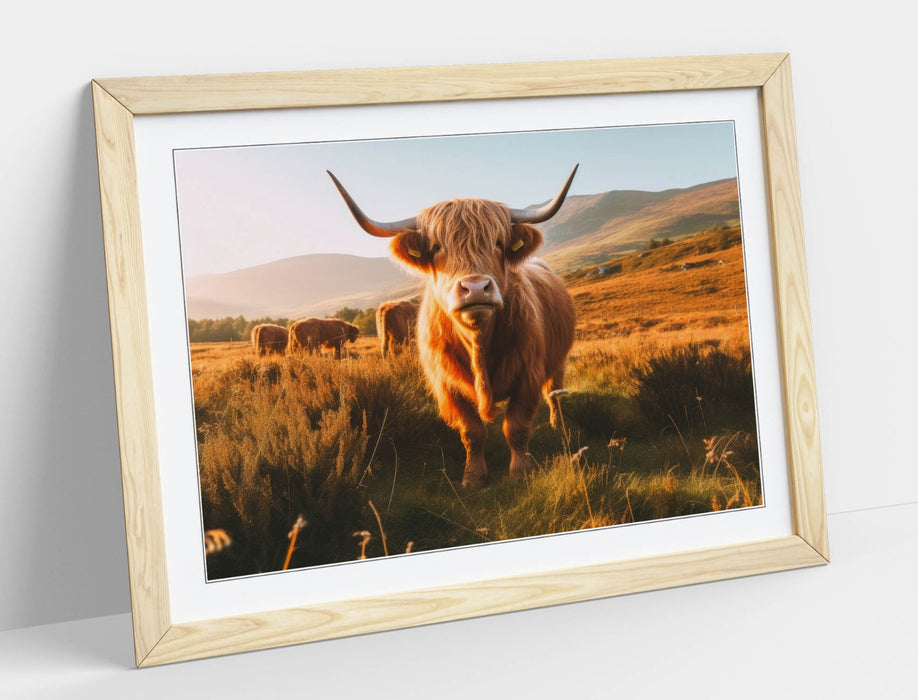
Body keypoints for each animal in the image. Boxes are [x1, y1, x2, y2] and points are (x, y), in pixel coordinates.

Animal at [329, 166, 578, 489]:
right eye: (436, 247)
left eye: (498, 243)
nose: (476, 288)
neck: (478, 341)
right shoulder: (446, 384)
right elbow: (472, 431)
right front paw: (473, 477)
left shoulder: (528, 373)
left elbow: (517, 427)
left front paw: (521, 471)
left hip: (557, 360)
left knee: (555, 393)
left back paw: (558, 424)